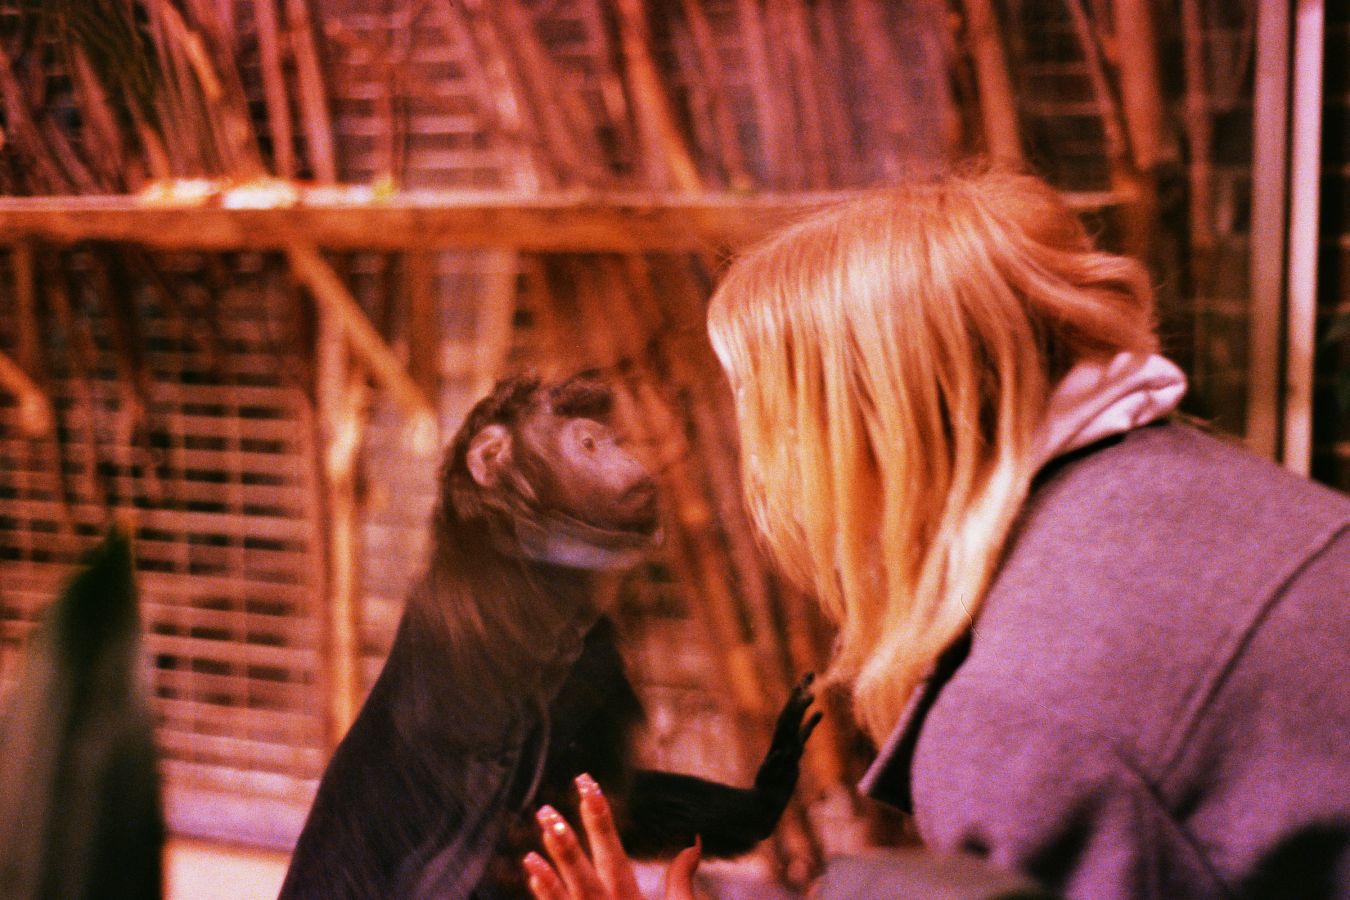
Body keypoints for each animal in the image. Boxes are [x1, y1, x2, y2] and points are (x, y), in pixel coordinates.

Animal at [278, 374, 820, 899]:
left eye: (604, 440)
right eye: (588, 443)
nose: (625, 454)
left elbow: (607, 804)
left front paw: (762, 801)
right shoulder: (568, 656)